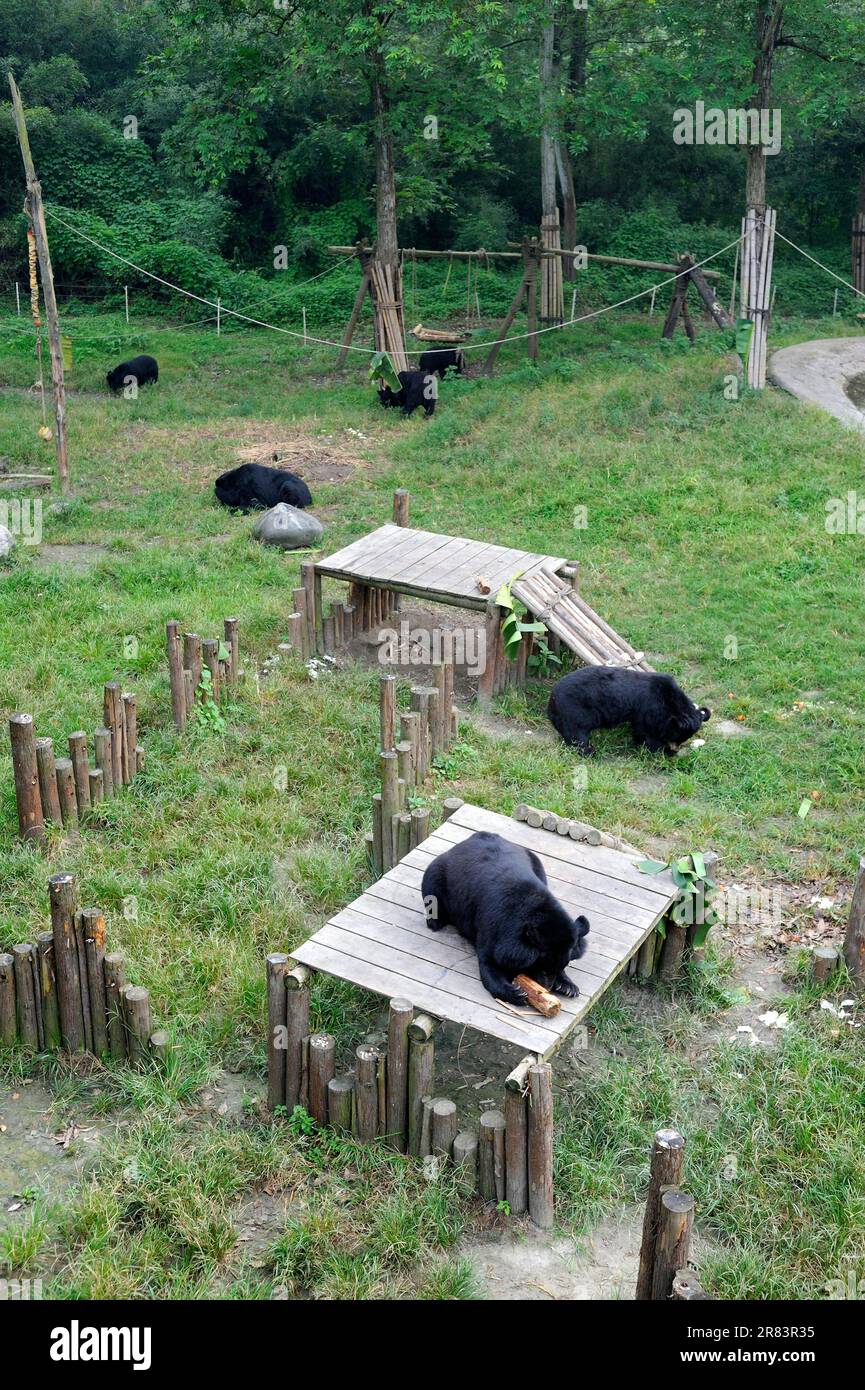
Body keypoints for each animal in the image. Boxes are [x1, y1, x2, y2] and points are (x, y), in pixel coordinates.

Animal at [420, 830, 590, 1006]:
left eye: (561, 966)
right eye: (541, 967)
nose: (546, 987)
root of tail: (478, 835)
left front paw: (568, 986)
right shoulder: (494, 925)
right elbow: (490, 962)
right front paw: (517, 993)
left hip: (536, 862)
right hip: (438, 873)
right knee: (432, 886)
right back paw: (435, 921)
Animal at [547, 666, 711, 757]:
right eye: (677, 736)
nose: (675, 748)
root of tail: (552, 697)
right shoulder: (649, 709)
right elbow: (647, 732)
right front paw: (663, 751)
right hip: (576, 711)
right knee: (577, 735)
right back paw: (590, 752)